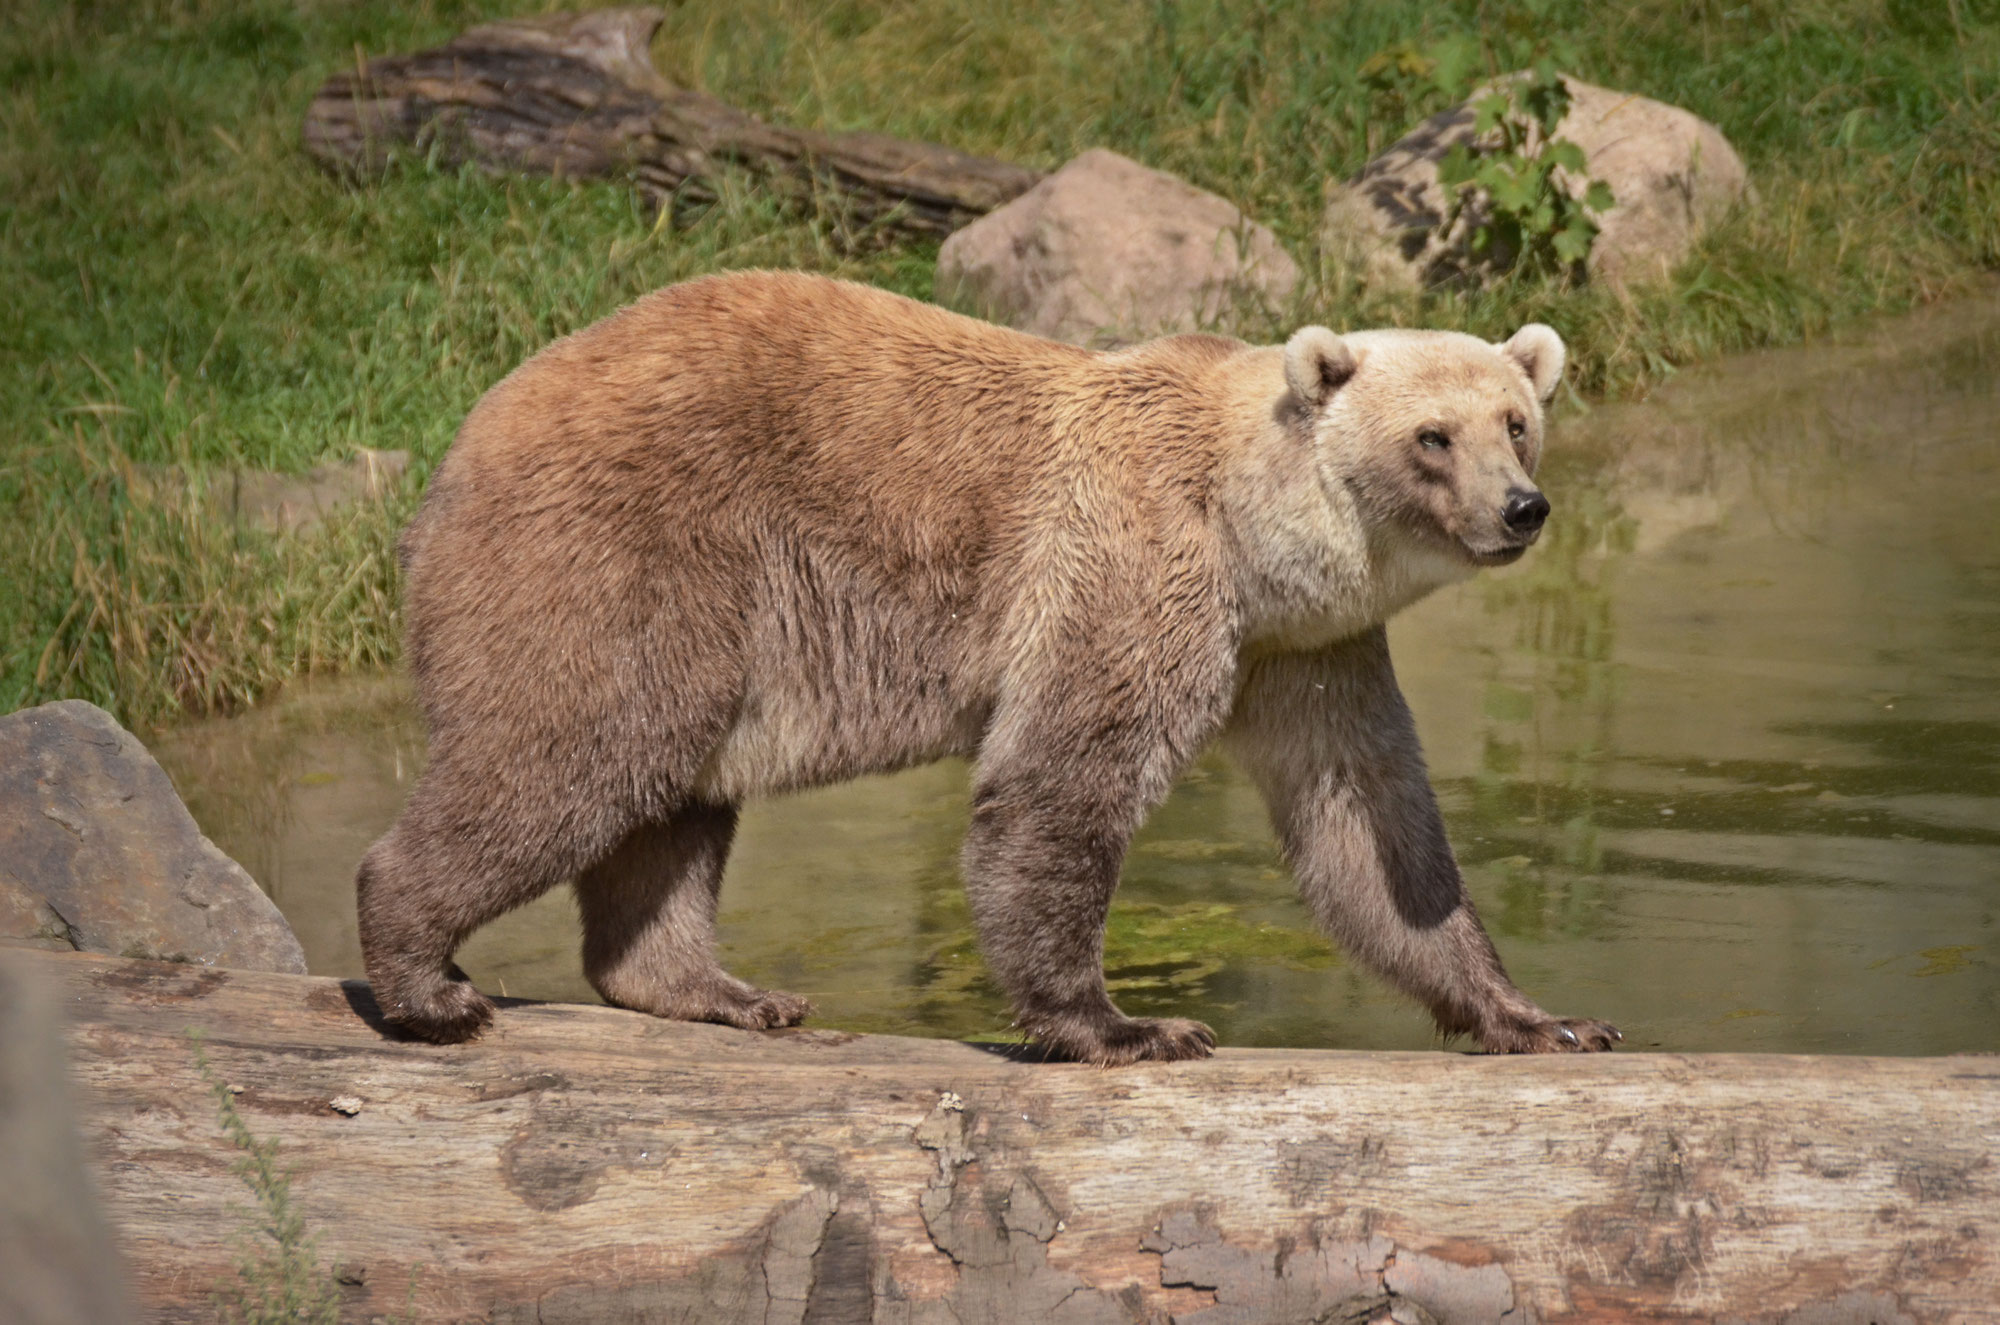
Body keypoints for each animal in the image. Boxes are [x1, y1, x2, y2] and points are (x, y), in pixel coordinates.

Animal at [360, 270, 1624, 1072]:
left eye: (1516, 419)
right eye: (1431, 436)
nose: (1519, 508)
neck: (1257, 537)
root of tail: (458, 449)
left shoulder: (1304, 648)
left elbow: (1368, 827)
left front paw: (1545, 1017)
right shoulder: (1132, 564)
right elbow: (1060, 780)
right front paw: (1129, 1026)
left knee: (673, 802)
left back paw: (723, 989)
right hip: (627, 547)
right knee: (572, 752)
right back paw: (428, 981)